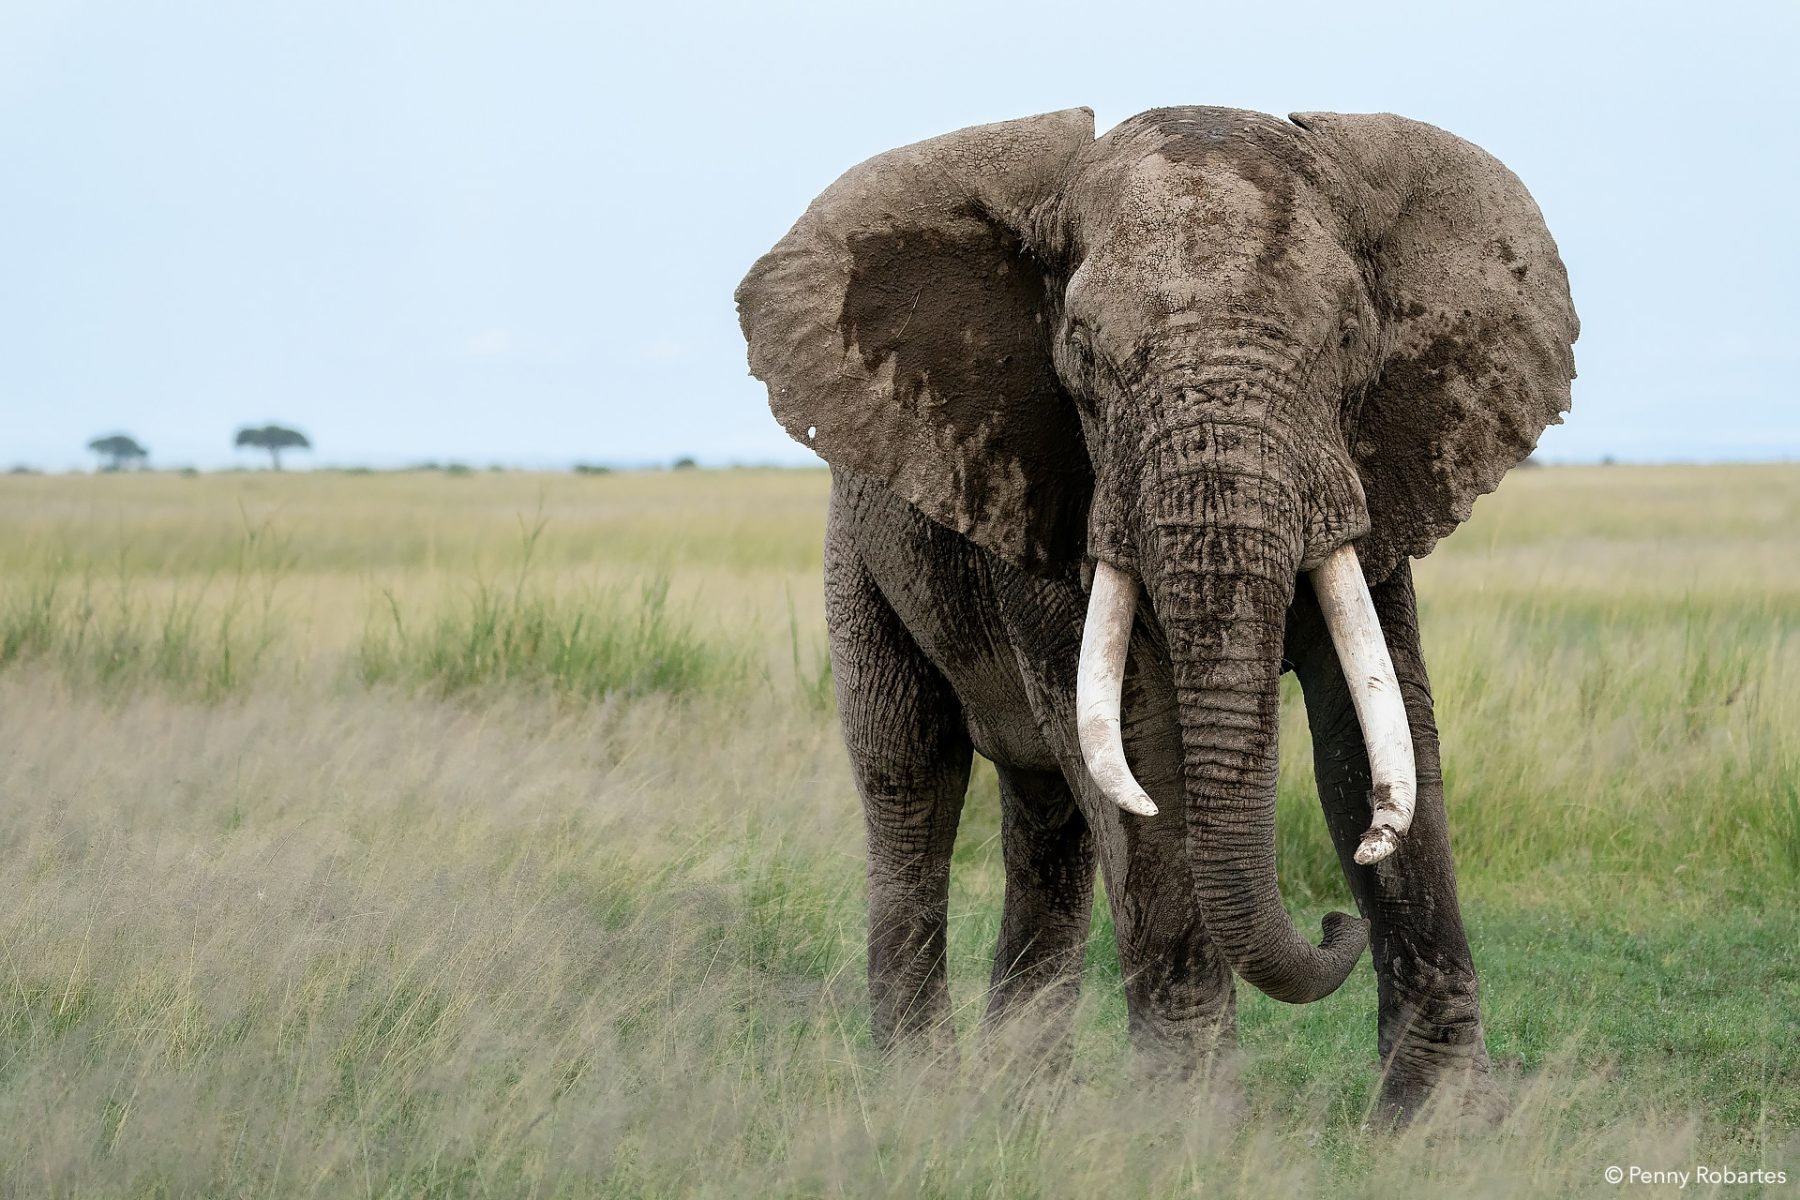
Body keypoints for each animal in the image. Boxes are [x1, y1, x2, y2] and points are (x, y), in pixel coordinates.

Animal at [735, 105, 1577, 1119]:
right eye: (1084, 353)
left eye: (1347, 339)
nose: (1331, 919)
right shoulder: (1050, 480)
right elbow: (1142, 744)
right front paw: (1189, 1125)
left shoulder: (1373, 471)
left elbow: (1381, 728)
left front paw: (1440, 1127)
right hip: (856, 555)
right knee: (910, 777)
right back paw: (925, 1093)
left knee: (1047, 818)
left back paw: (1025, 1096)